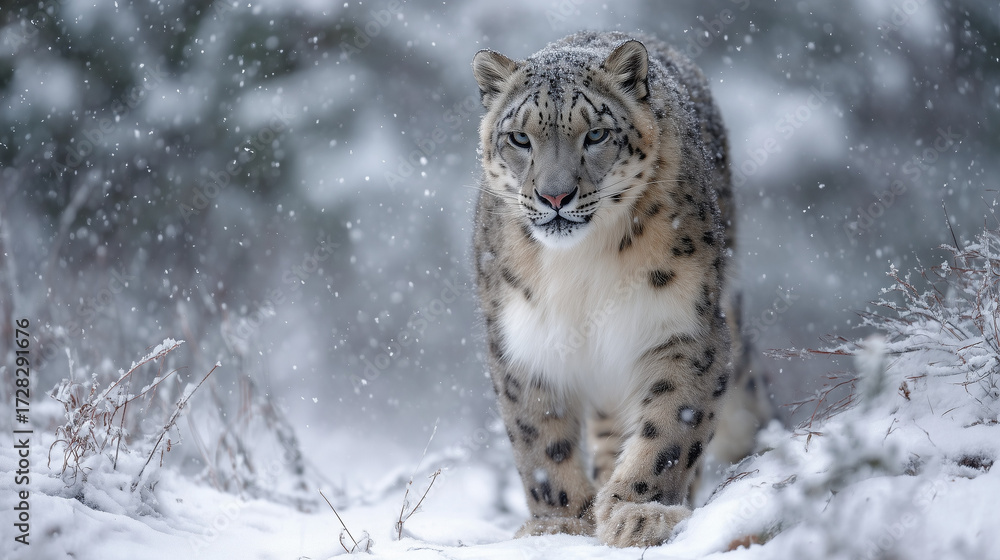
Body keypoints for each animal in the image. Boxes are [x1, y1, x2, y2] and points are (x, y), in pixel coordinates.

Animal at [471, 30, 774, 548]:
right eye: (519, 137)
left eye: (595, 134)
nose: (555, 195)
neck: (579, 266)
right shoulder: (524, 342)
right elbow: (540, 440)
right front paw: (560, 523)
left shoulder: (684, 328)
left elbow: (673, 423)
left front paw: (639, 512)